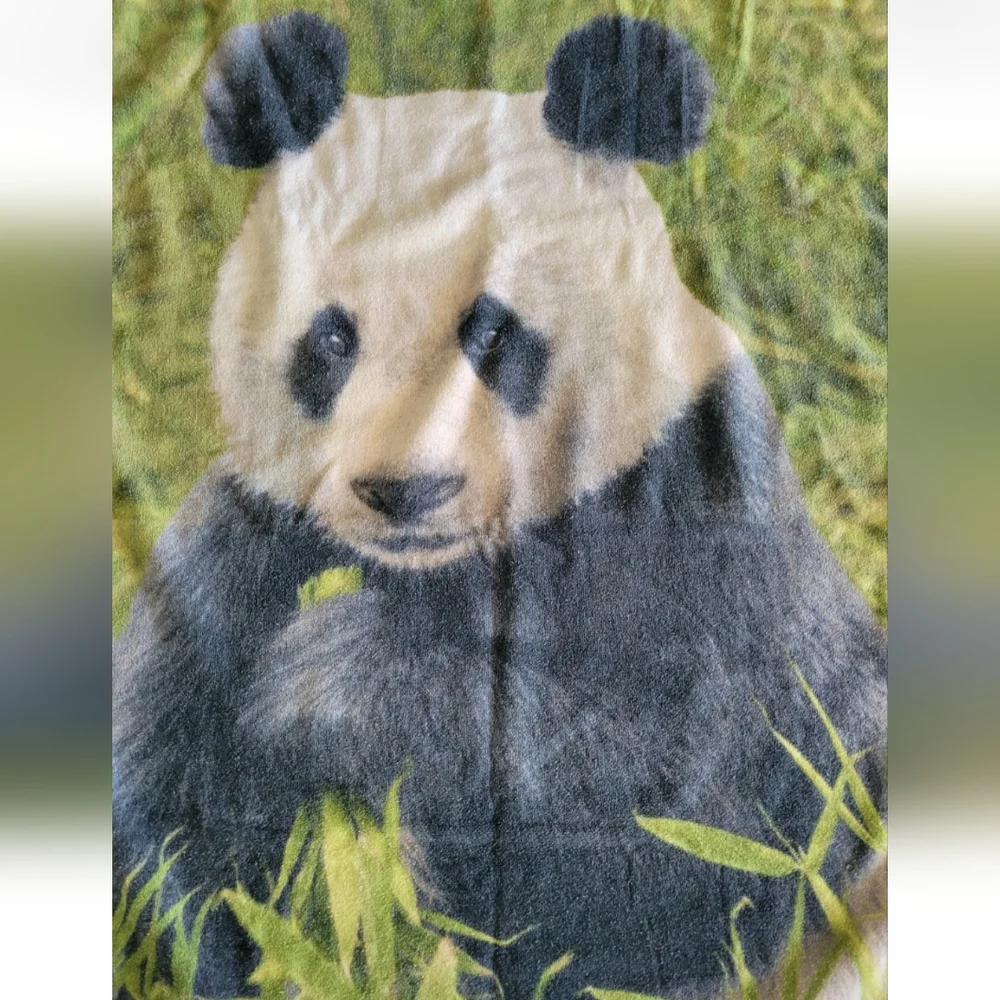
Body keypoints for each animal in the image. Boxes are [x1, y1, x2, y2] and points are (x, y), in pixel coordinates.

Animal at [113, 11, 887, 1000]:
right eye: (333, 339)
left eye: (490, 331)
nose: (404, 490)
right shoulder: (246, 544)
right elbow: (164, 809)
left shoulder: (702, 506)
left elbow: (713, 791)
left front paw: (332, 686)